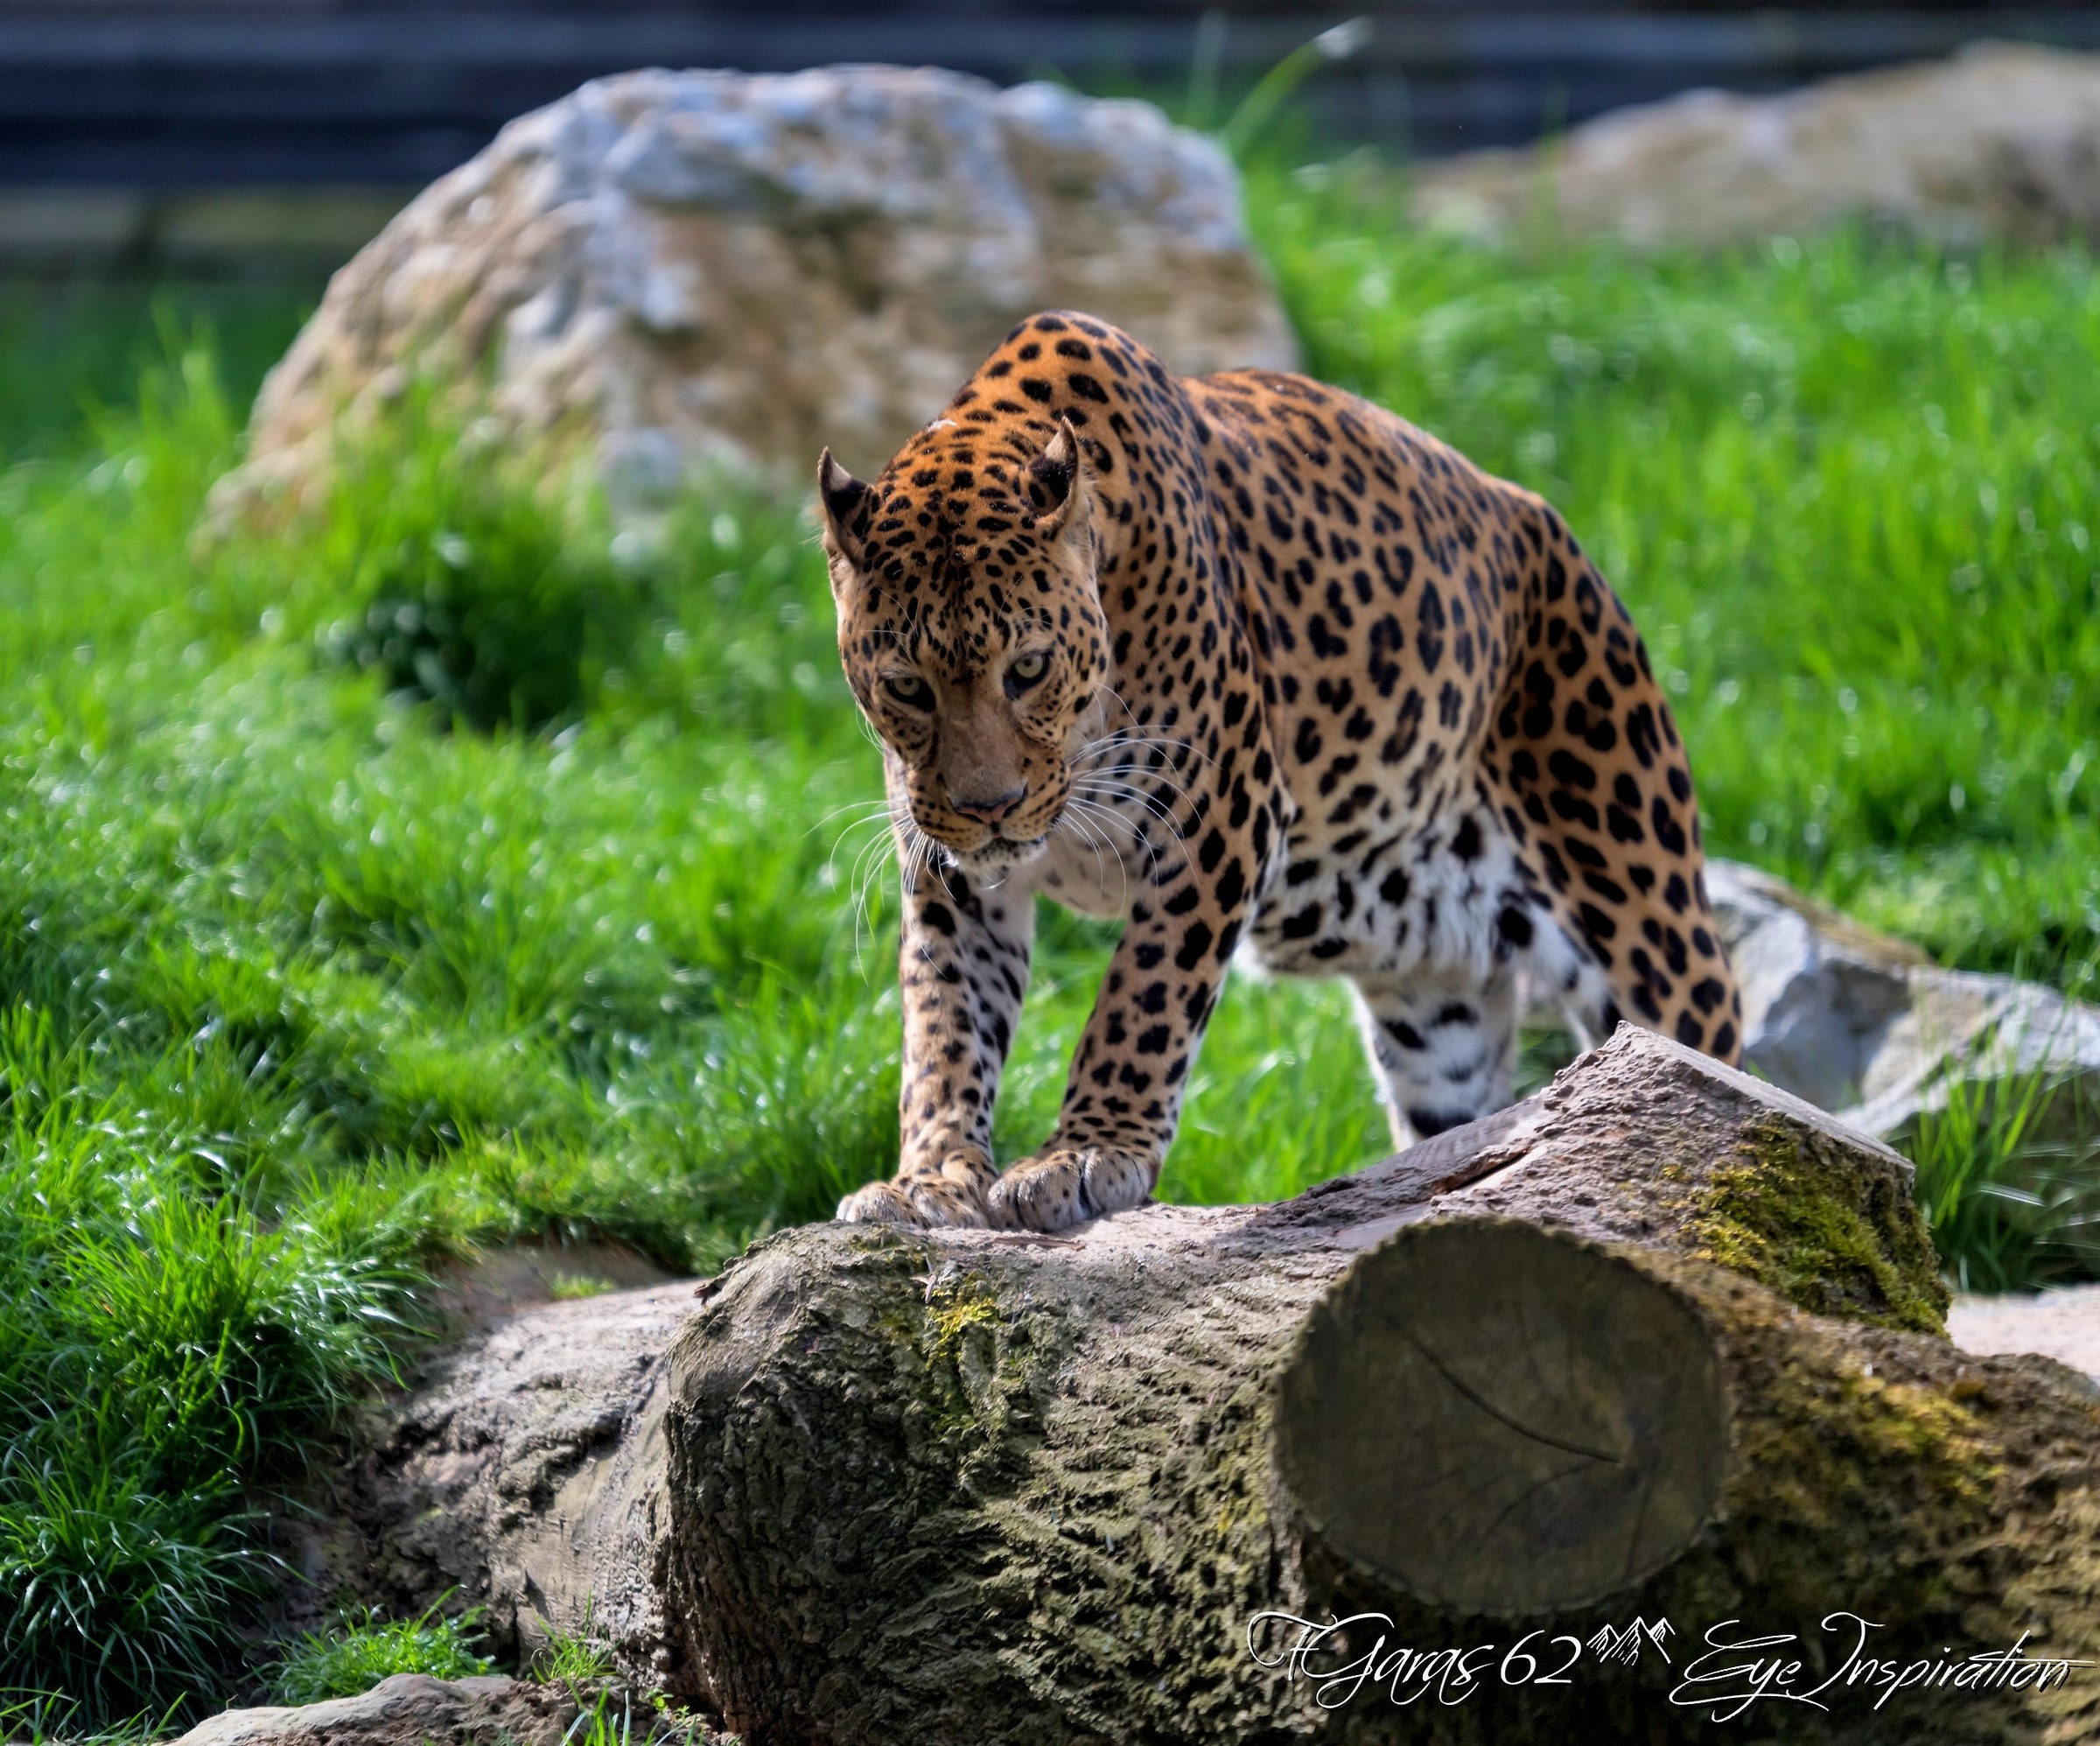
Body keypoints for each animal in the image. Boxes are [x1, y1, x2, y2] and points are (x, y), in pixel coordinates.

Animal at [816, 311, 1741, 1232]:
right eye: (907, 686)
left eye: (1029, 667)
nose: (992, 807)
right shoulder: (948, 868)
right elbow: (943, 1020)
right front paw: (931, 1177)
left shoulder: (1221, 809)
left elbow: (1142, 998)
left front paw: (1086, 1151)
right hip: (1438, 1022)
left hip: (1641, 908)